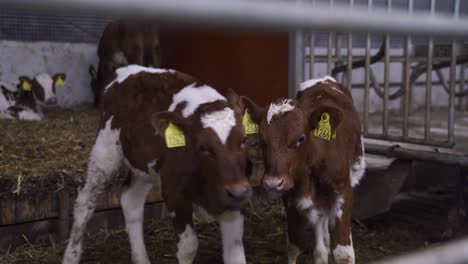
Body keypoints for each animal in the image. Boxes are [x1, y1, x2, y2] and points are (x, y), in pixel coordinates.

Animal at [63, 65, 252, 264]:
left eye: (244, 139)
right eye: (202, 147)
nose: (239, 191)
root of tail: (130, 69)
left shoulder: (234, 200)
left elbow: (235, 250)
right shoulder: (173, 192)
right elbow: (189, 246)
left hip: (144, 168)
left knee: (131, 200)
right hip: (105, 151)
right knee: (84, 203)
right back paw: (71, 256)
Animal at [243, 75, 368, 262]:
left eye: (300, 138)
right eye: (262, 140)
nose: (273, 182)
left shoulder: (343, 190)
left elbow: (343, 253)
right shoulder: (290, 196)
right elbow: (294, 246)